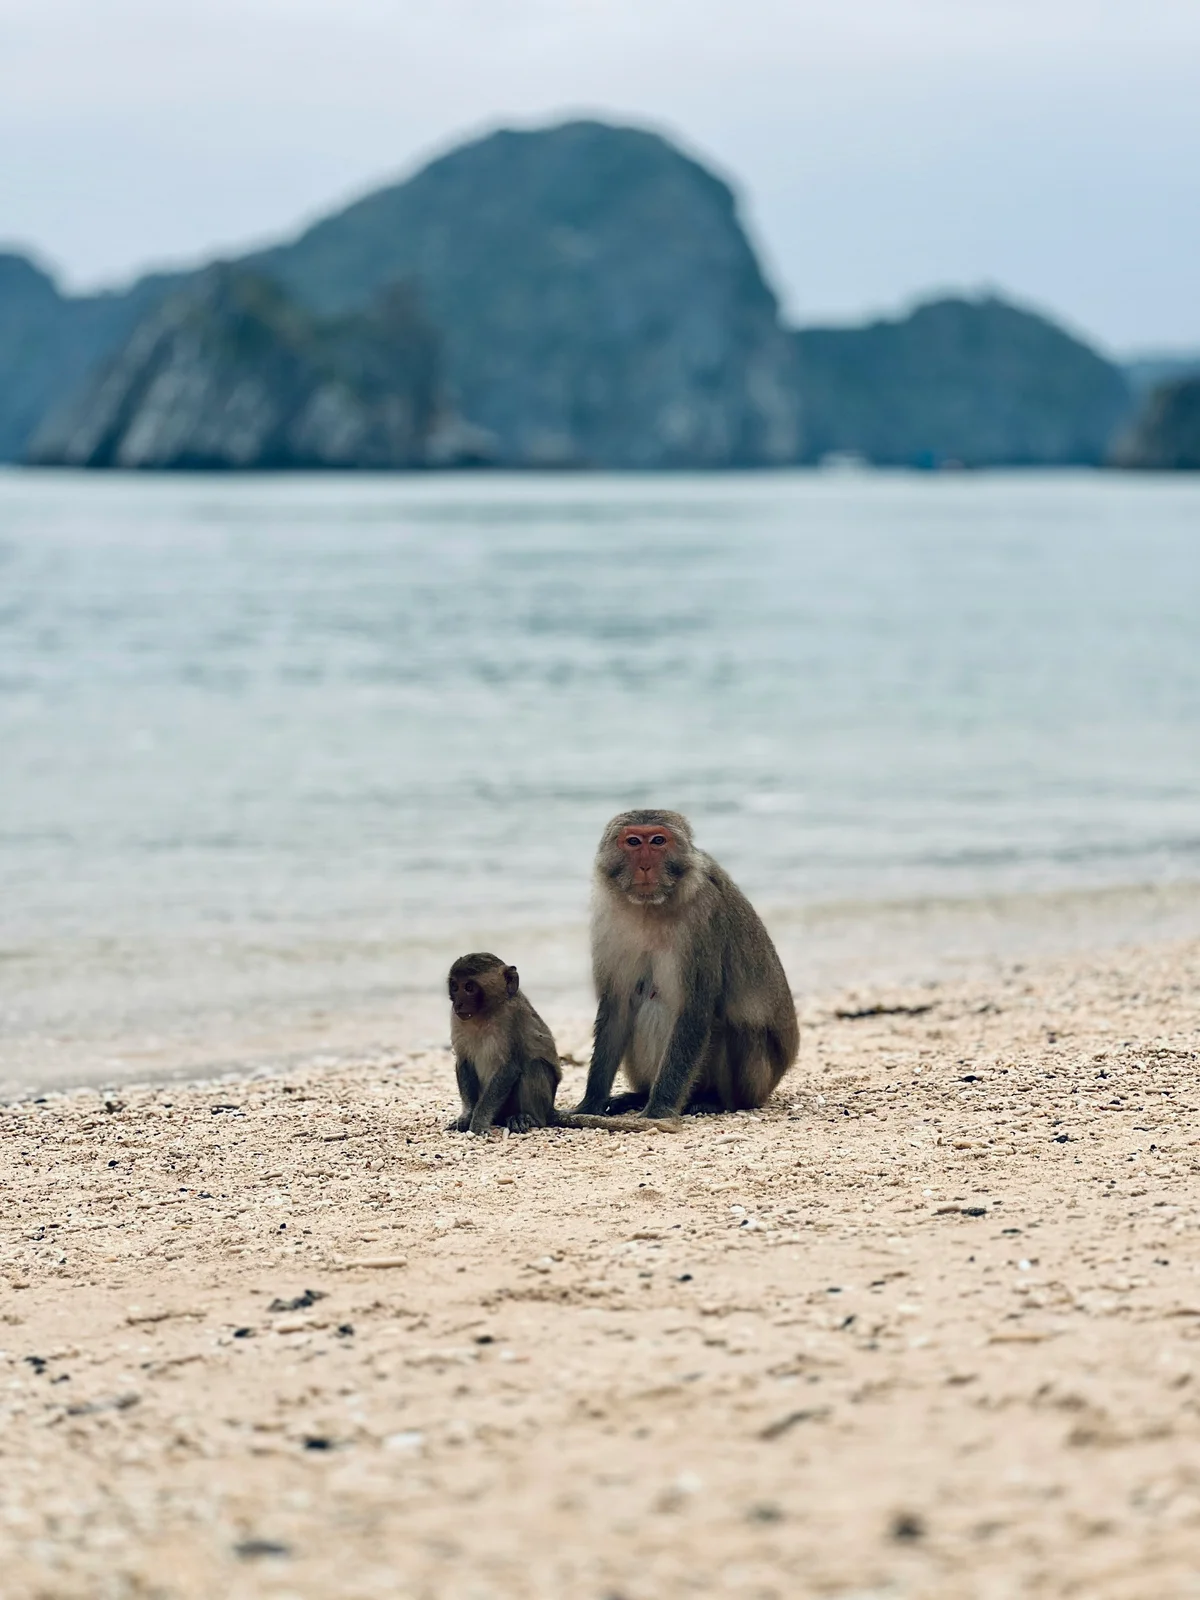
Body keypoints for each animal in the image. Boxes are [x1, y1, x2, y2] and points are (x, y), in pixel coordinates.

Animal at [447, 953, 673, 1136]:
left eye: (469, 987)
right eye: (455, 986)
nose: (458, 1003)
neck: (485, 1014)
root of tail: (549, 1110)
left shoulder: (512, 1018)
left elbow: (509, 1068)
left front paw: (479, 1121)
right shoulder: (457, 1019)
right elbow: (463, 1063)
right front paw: (467, 1115)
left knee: (534, 1067)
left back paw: (527, 1118)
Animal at [571, 809, 799, 1122]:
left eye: (658, 841)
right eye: (633, 842)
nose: (645, 866)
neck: (649, 909)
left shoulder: (703, 915)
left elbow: (695, 1012)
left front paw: (658, 1108)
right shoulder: (609, 918)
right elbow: (617, 1008)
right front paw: (590, 1102)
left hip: (756, 1080)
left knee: (728, 1024)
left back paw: (713, 1100)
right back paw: (640, 1095)